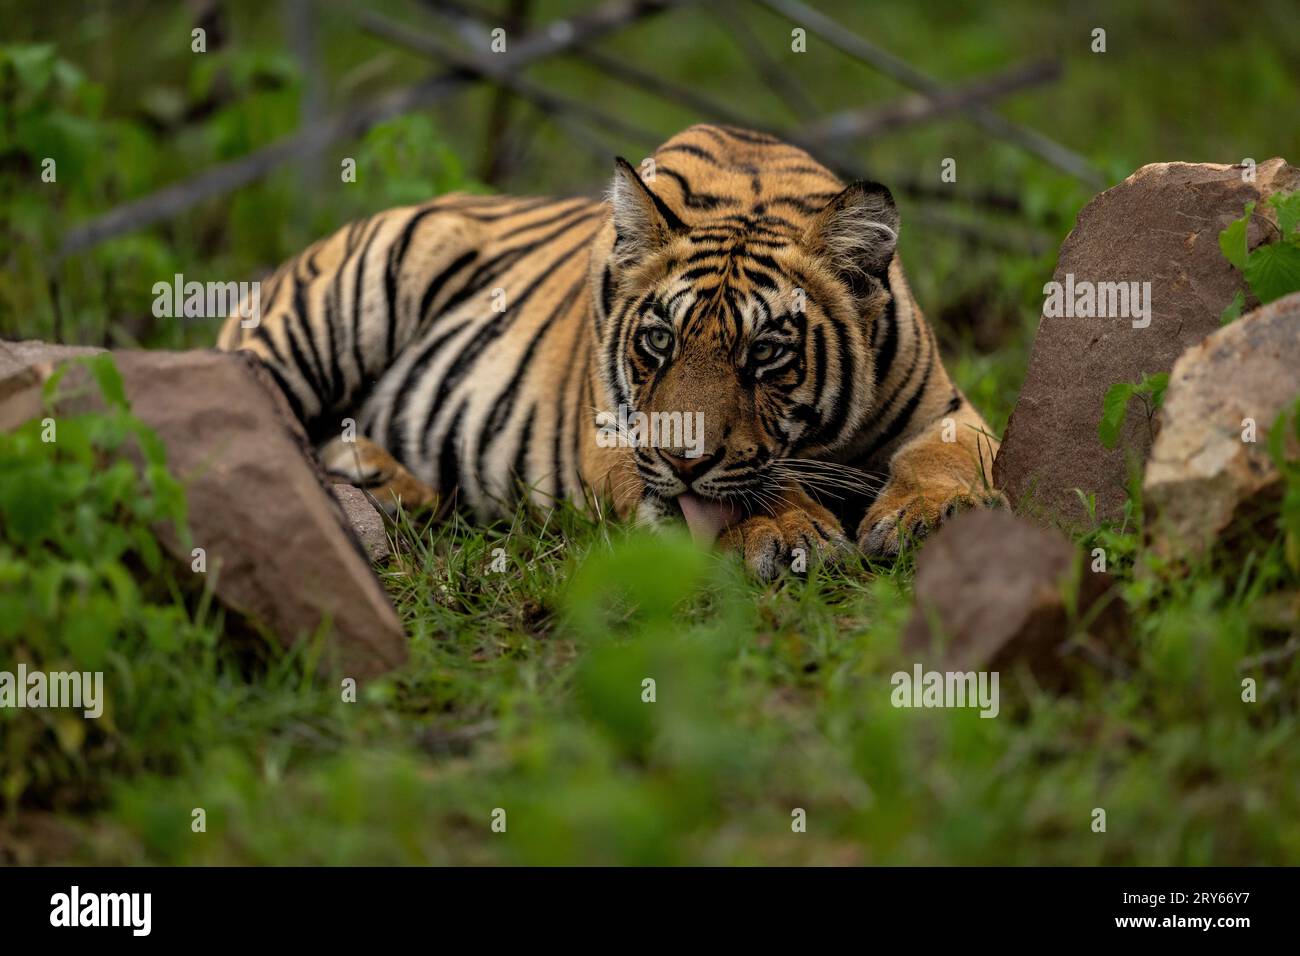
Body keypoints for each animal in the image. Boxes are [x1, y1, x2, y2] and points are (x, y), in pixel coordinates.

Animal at [218, 123, 998, 580]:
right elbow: (743, 490)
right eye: (659, 340)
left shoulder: (946, 408)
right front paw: (786, 531)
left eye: (767, 354)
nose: (686, 462)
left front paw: (929, 514)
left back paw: (388, 484)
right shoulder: (616, 440)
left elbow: (949, 457)